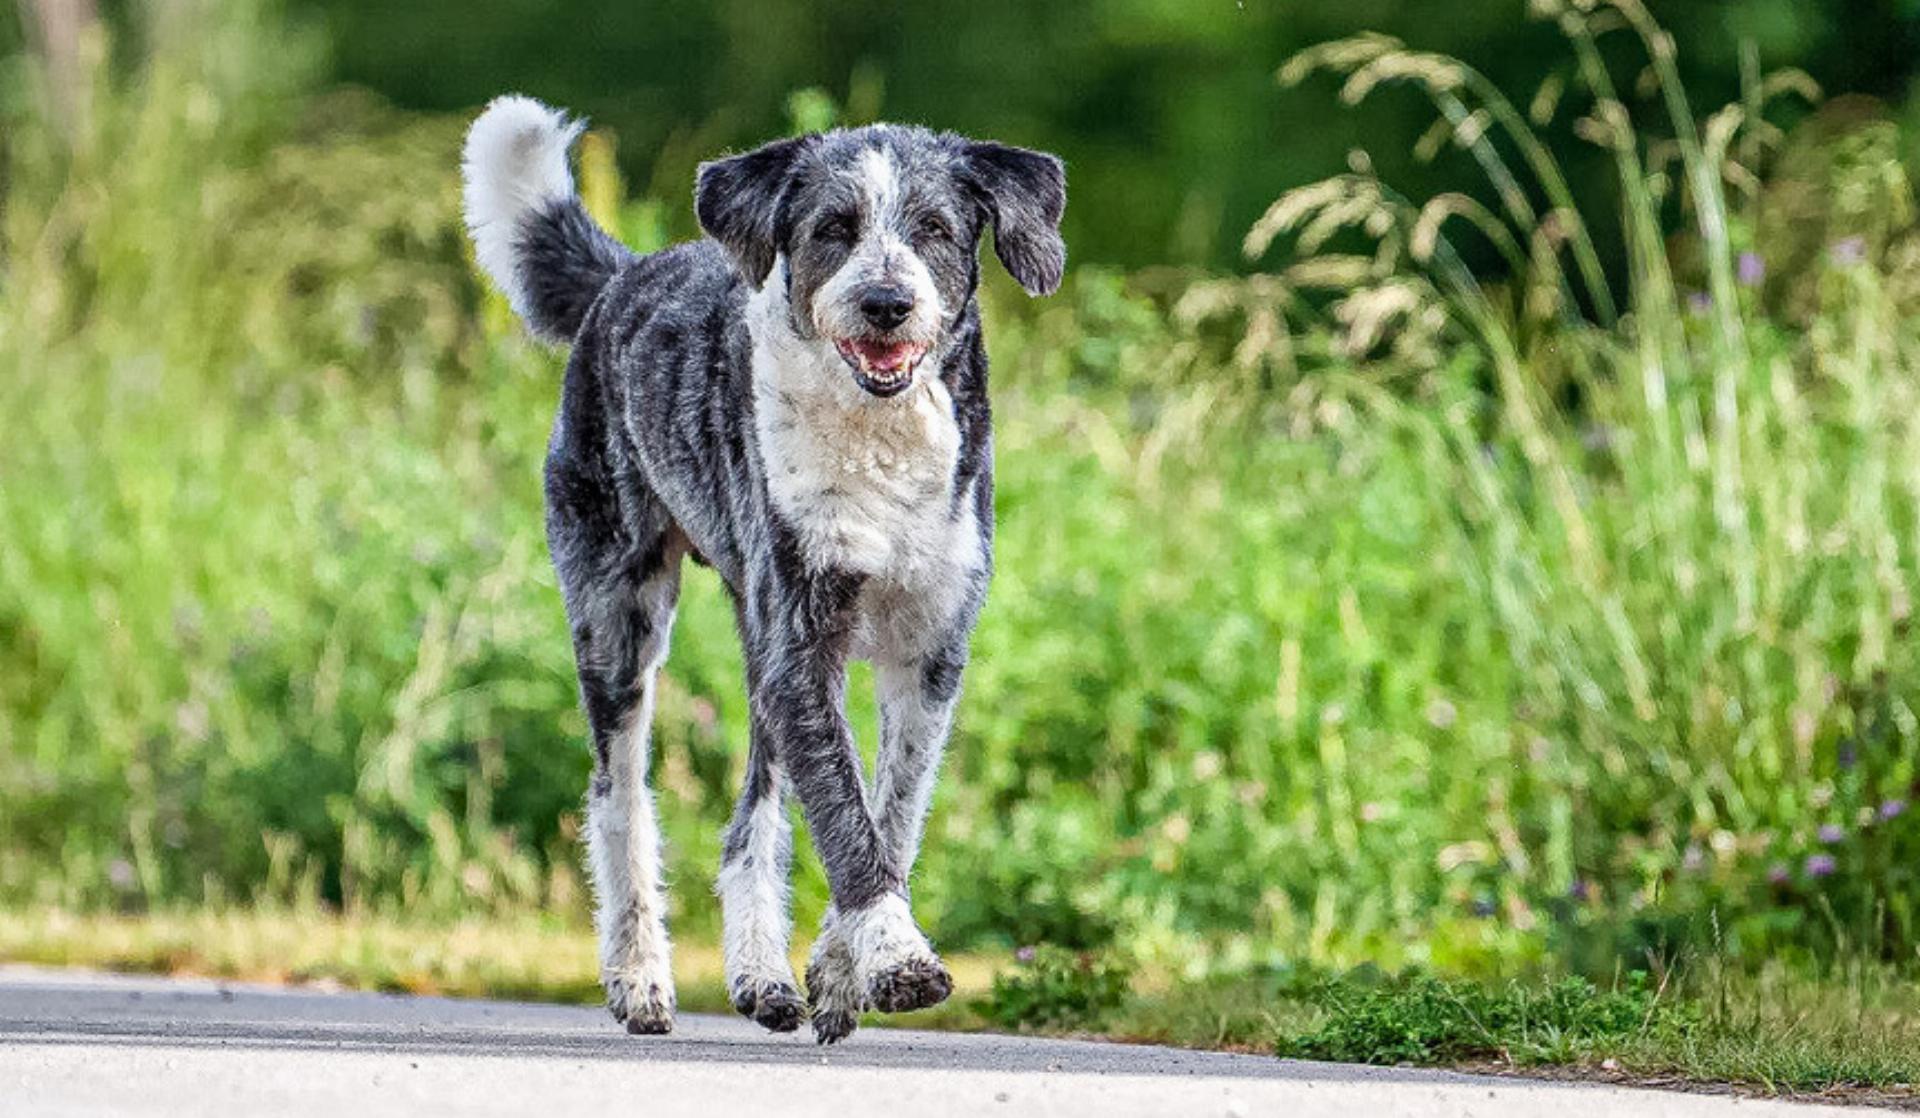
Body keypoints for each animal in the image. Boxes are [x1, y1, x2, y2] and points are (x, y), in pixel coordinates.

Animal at [458, 94, 1075, 1045]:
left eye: (935, 228)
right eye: (832, 228)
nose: (887, 302)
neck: (878, 442)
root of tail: (621, 280)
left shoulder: (928, 654)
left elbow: (888, 814)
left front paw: (840, 970)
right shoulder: (803, 647)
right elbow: (847, 818)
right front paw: (898, 959)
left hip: (754, 642)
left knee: (754, 813)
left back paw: (761, 977)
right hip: (620, 619)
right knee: (617, 797)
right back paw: (639, 977)